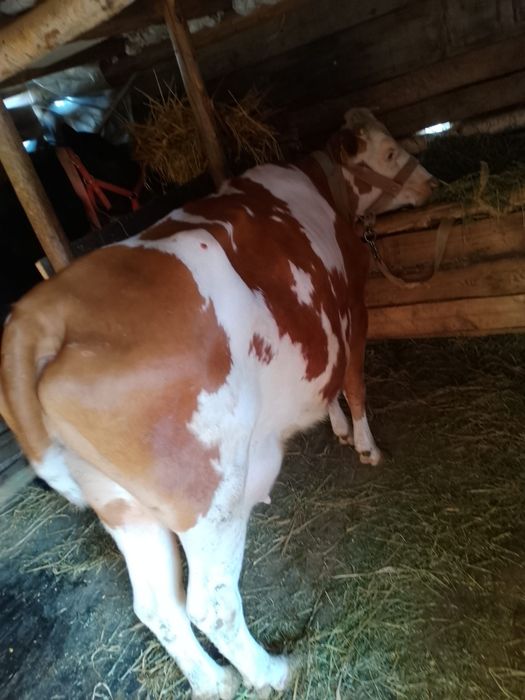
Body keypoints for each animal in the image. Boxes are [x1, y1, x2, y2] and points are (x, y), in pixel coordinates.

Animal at [0, 109, 435, 699]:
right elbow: (353, 382)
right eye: (389, 152)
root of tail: (41, 313)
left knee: (157, 607)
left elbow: (324, 384)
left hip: (123, 507)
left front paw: (339, 428)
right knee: (209, 604)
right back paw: (271, 673)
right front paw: (366, 445)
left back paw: (217, 682)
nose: (431, 182)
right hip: (209, 500)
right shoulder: (353, 309)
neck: (324, 190)